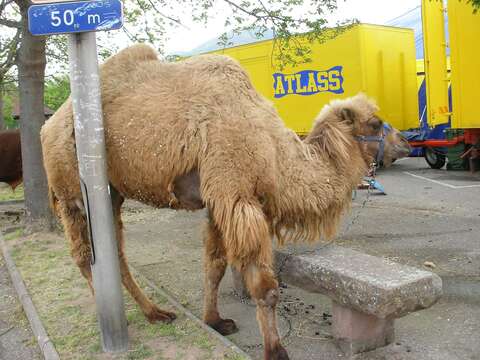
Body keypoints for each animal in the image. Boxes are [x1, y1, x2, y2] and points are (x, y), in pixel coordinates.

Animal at [40, 45, 386, 360]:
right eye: (376, 123)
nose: (400, 141)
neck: (274, 150)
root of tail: (47, 125)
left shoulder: (219, 201)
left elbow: (214, 265)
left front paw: (215, 321)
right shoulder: (237, 197)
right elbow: (264, 285)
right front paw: (276, 351)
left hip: (112, 193)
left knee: (115, 254)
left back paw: (156, 313)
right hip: (70, 187)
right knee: (84, 255)